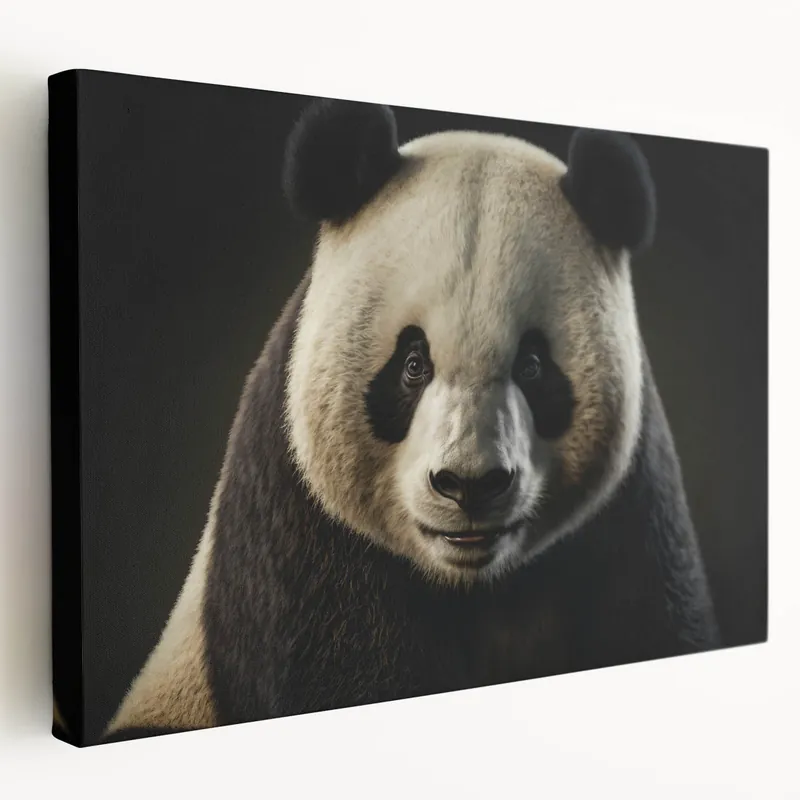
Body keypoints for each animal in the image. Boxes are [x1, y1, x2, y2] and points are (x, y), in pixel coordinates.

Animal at [104, 99, 720, 742]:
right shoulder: (301, 531)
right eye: (413, 364)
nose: (470, 484)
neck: (471, 585)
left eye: (532, 366)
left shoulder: (632, 516)